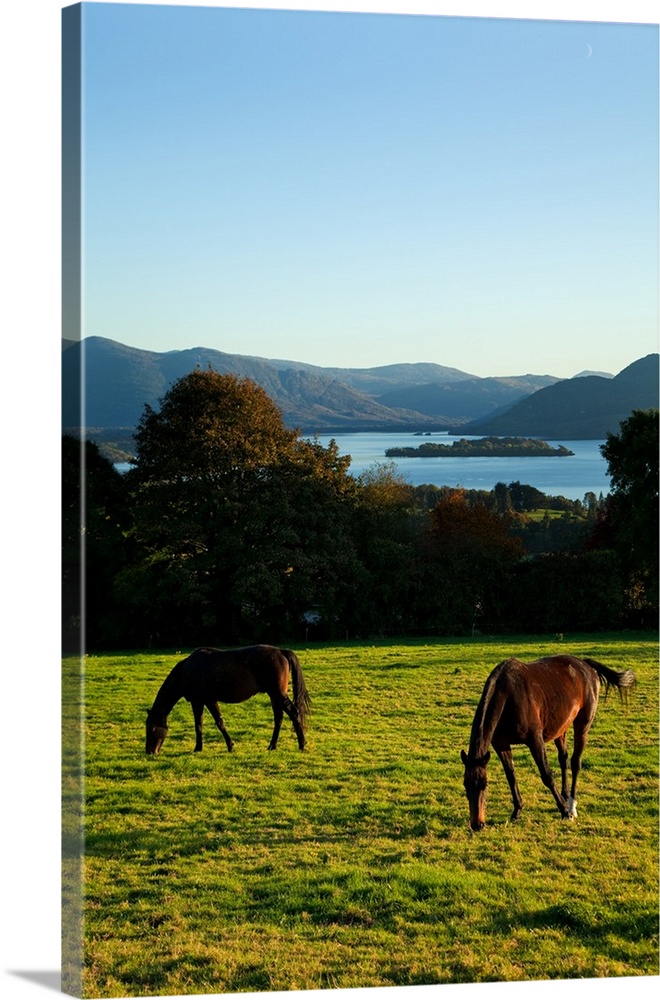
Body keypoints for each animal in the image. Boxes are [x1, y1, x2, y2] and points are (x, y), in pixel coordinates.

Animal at [146, 644, 310, 752]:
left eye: (152, 728)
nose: (150, 752)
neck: (187, 671)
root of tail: (281, 651)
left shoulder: (198, 701)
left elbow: (200, 725)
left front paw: (198, 748)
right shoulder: (209, 701)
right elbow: (219, 722)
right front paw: (229, 746)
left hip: (277, 694)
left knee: (294, 713)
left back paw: (302, 744)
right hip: (274, 695)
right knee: (279, 718)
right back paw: (272, 746)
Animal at [462, 656, 636, 828]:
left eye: (484, 784)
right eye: (465, 785)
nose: (477, 824)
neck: (508, 696)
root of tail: (584, 664)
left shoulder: (535, 741)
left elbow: (547, 775)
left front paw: (564, 812)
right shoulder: (500, 745)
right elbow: (511, 776)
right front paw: (517, 811)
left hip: (583, 725)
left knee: (575, 762)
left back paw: (571, 806)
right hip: (561, 728)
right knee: (564, 759)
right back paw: (565, 796)